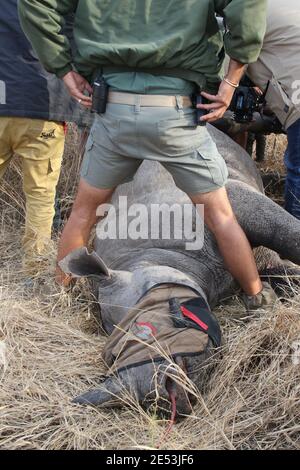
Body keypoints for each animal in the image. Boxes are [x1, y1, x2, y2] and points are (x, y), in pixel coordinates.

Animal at [60, 124, 300, 414]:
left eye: (143, 327)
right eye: (115, 354)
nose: (158, 395)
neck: (149, 258)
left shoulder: (228, 198)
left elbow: (288, 234)